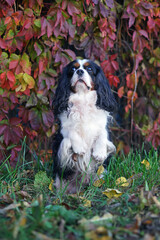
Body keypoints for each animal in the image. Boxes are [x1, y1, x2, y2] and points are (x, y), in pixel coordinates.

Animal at [52, 58, 116, 193]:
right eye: (73, 69)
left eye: (89, 69)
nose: (80, 71)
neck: (83, 98)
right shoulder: (62, 130)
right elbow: (70, 131)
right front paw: (80, 147)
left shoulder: (102, 126)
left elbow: (102, 134)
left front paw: (99, 153)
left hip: (99, 175)